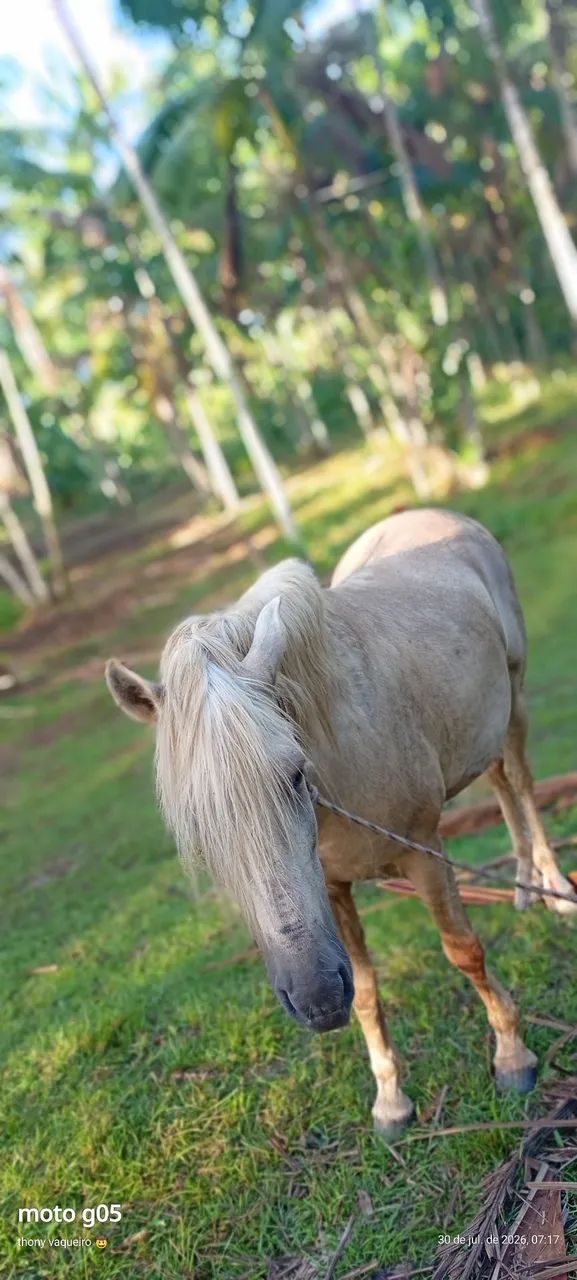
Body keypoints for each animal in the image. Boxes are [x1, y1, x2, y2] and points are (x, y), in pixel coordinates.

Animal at [105, 507, 577, 1139]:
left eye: (295, 775)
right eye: (199, 825)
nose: (315, 997)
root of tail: (432, 515)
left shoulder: (425, 853)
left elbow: (464, 950)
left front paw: (512, 1057)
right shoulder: (333, 889)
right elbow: (368, 991)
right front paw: (391, 1100)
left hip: (517, 697)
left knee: (521, 785)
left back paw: (550, 887)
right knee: (501, 782)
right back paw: (523, 884)